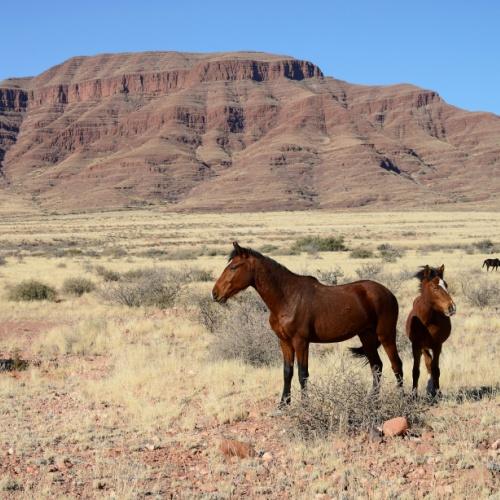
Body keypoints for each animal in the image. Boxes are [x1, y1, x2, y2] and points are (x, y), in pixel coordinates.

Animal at [211, 242, 402, 406]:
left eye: (233, 267)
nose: (215, 293)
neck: (287, 297)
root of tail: (388, 293)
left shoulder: (301, 341)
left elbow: (303, 374)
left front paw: (305, 405)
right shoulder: (284, 342)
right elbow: (287, 372)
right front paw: (283, 404)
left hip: (386, 335)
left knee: (396, 365)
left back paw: (403, 399)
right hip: (366, 336)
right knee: (377, 366)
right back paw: (372, 401)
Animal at [406, 266, 458, 398]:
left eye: (446, 285)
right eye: (435, 287)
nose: (452, 307)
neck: (426, 321)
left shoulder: (437, 346)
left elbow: (436, 369)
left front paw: (438, 393)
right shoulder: (416, 346)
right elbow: (416, 370)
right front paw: (413, 395)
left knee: (431, 366)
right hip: (424, 347)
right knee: (427, 363)